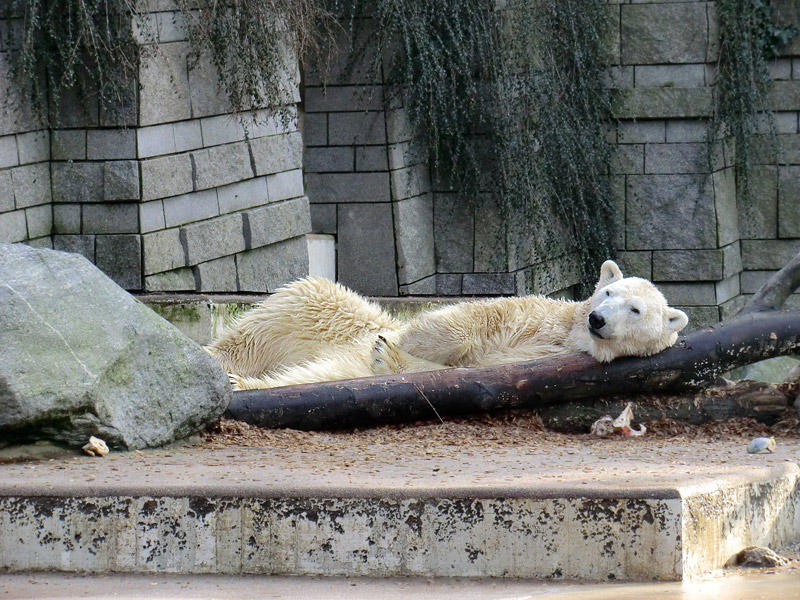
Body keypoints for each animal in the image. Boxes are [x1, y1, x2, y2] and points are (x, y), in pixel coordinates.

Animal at [206, 260, 688, 392]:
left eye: (636, 310)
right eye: (608, 293)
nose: (597, 318)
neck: (569, 335)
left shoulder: (543, 359)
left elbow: (469, 372)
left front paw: (389, 353)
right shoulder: (536, 313)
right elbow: (474, 317)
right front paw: (406, 338)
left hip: (335, 351)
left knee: (315, 373)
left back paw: (237, 382)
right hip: (331, 315)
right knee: (291, 304)